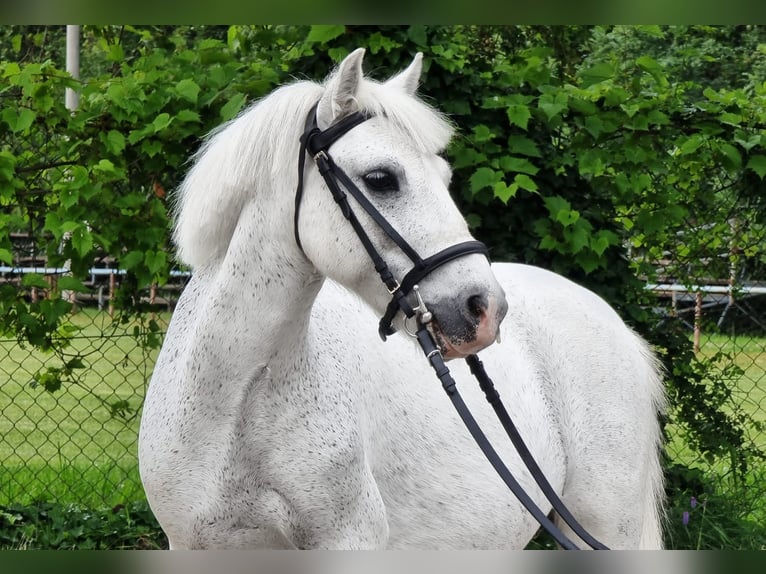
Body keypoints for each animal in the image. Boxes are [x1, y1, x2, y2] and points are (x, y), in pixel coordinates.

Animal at [138, 47, 664, 552]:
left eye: (445, 176)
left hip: (605, 523)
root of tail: (614, 323)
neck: (231, 404)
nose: (486, 308)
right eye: (380, 178)